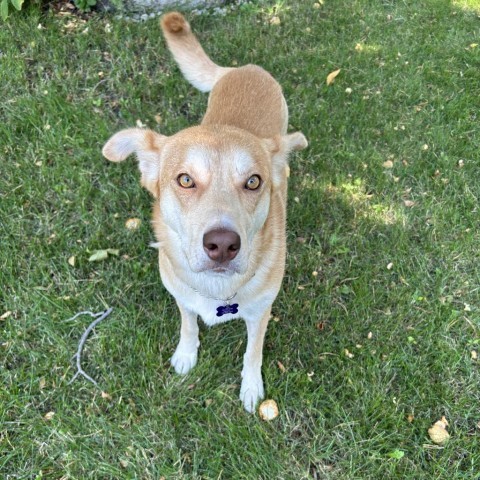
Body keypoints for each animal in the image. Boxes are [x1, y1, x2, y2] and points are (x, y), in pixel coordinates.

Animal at [103, 12, 310, 412]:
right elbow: (188, 324)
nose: (223, 245)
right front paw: (186, 354)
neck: (218, 290)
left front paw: (251, 387)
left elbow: (253, 353)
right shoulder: (181, 296)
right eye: (185, 179)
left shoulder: (261, 313)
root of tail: (245, 68)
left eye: (253, 182)